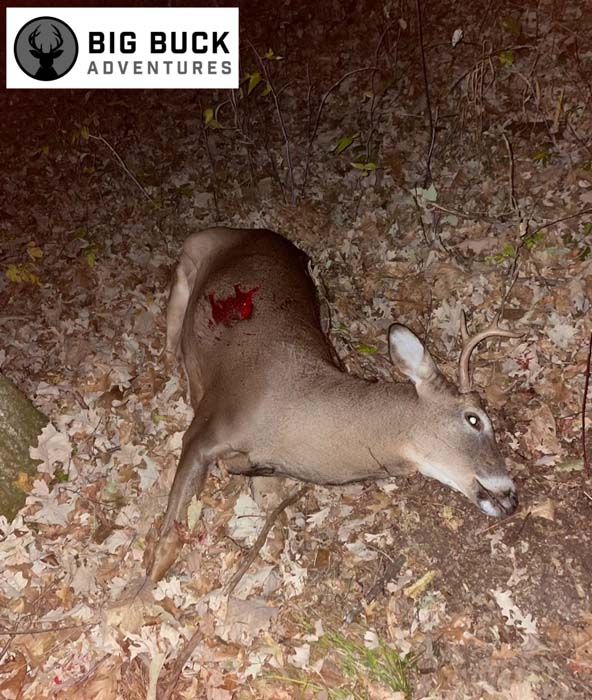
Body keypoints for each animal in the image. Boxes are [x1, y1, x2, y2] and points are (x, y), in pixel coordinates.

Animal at [145, 228, 522, 582]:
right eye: (474, 419)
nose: (512, 495)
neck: (289, 413)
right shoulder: (208, 427)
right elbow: (168, 542)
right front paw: (137, 595)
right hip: (188, 265)